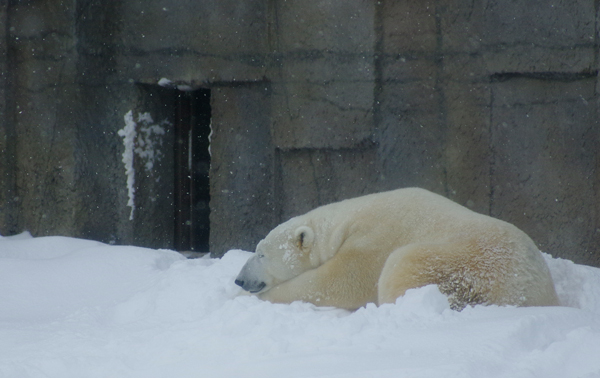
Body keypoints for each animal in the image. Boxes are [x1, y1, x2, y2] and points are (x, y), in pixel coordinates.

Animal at [233, 188, 556, 310]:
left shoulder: (374, 237)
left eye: (261, 253)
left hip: (468, 263)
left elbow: (339, 282)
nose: (239, 279)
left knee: (402, 265)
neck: (344, 221)